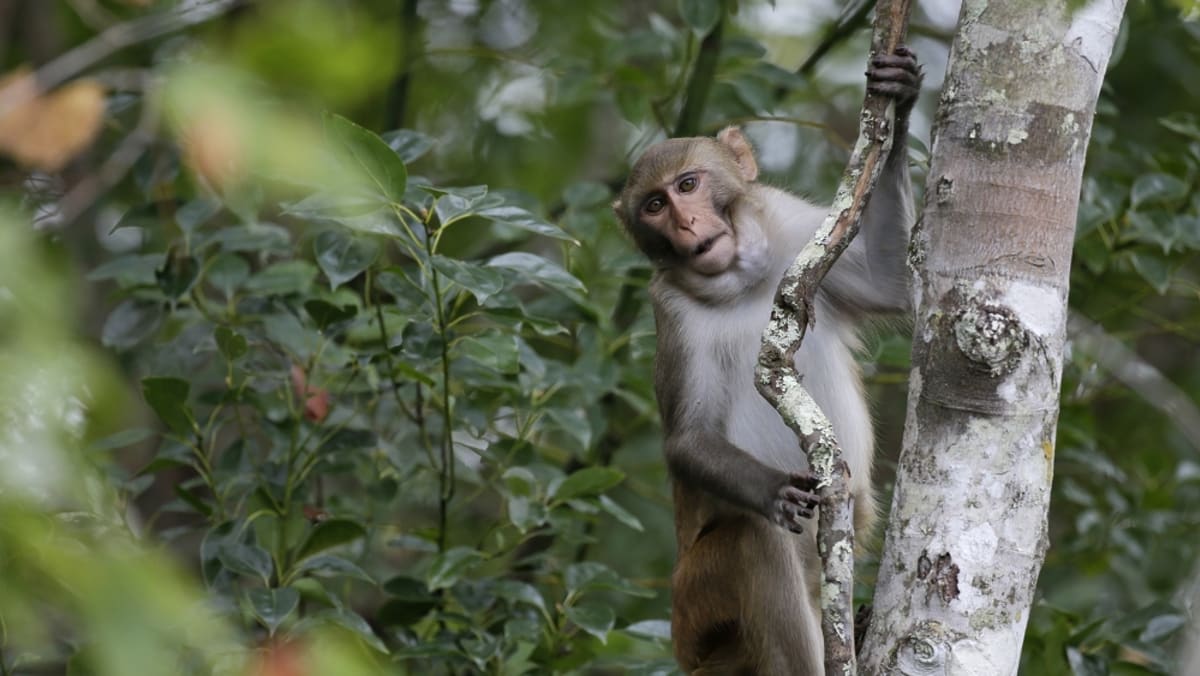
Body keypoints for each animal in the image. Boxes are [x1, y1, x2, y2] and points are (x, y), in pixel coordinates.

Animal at [614, 45, 921, 672]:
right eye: (655, 205)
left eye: (688, 184)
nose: (686, 224)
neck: (742, 282)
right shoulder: (672, 313)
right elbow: (689, 439)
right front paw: (774, 490)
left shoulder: (796, 230)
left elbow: (894, 282)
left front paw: (899, 101)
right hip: (698, 604)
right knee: (755, 543)